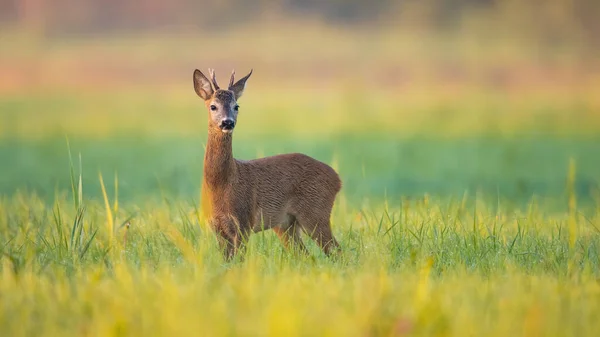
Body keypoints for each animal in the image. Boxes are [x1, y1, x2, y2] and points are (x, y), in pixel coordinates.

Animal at [193, 66, 342, 260]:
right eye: (213, 106)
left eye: (236, 106)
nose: (227, 122)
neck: (221, 185)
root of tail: (337, 179)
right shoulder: (217, 227)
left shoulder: (244, 221)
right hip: (286, 224)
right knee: (306, 255)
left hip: (316, 212)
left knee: (336, 250)